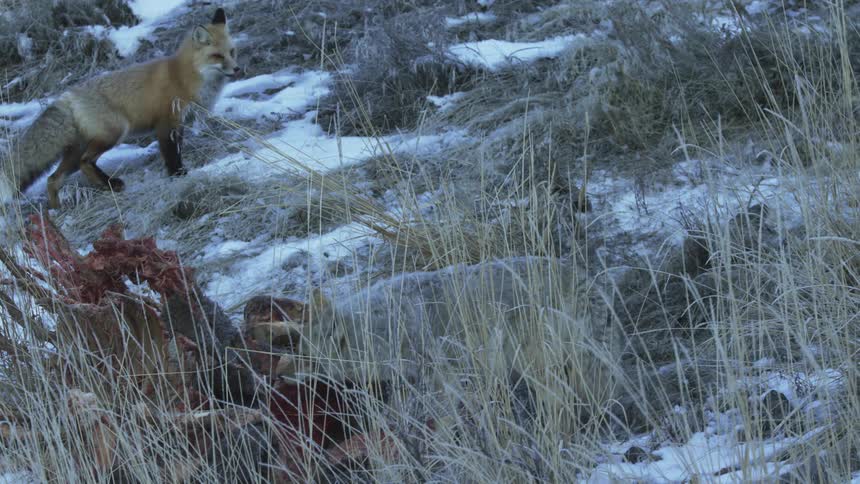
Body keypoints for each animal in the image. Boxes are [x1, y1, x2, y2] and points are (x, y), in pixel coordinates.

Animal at [0, 8, 239, 209]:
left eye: (232, 52)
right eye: (217, 56)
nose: (237, 69)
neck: (185, 76)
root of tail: (67, 96)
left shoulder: (178, 125)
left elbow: (177, 151)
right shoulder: (166, 124)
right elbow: (171, 155)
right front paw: (179, 175)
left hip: (75, 151)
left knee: (53, 179)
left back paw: (56, 210)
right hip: (113, 134)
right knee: (85, 162)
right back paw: (110, 184)